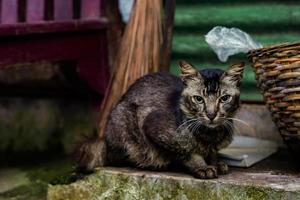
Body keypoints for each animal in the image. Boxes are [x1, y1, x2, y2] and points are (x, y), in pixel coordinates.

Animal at [76, 60, 245, 179]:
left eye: (224, 98)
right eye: (198, 99)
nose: (211, 114)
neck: (211, 135)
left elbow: (213, 153)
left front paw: (216, 163)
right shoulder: (153, 126)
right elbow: (187, 151)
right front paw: (202, 167)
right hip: (123, 120)